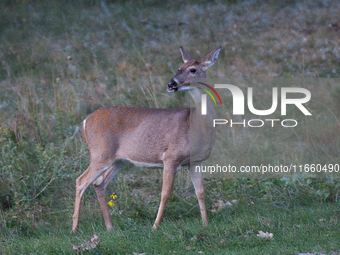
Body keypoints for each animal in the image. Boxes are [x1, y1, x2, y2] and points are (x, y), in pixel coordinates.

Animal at [71, 45, 220, 233]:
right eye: (179, 68)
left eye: (192, 69)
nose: (171, 84)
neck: (195, 124)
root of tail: (84, 122)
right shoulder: (171, 157)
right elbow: (165, 193)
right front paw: (155, 226)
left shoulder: (195, 161)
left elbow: (200, 192)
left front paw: (206, 223)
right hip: (101, 153)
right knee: (81, 181)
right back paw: (74, 228)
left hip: (119, 160)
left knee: (99, 184)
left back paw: (110, 227)